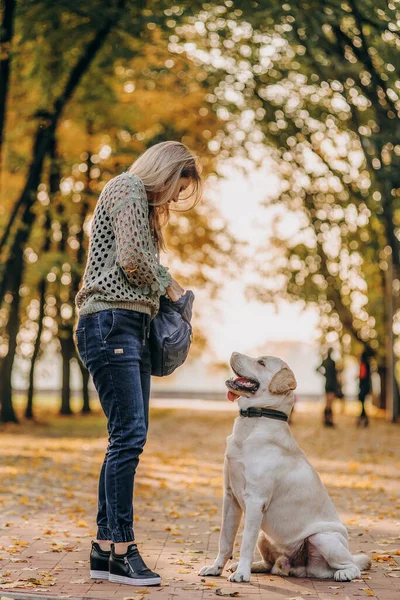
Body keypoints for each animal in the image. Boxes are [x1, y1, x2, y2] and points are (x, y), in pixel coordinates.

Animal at [200, 352, 372, 580]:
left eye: (261, 362)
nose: (233, 353)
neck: (255, 419)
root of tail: (296, 567)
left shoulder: (255, 501)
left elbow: (245, 543)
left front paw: (242, 575)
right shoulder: (230, 497)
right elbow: (225, 540)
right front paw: (216, 568)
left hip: (323, 538)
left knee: (351, 566)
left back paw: (344, 573)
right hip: (264, 535)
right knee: (269, 563)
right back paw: (252, 566)